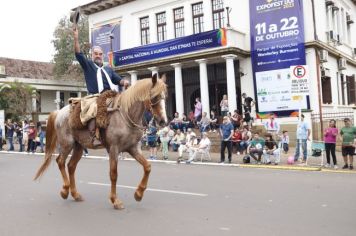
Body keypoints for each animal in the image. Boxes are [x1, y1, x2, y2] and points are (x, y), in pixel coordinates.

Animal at [34, 74, 168, 210]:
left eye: (165, 96)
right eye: (154, 96)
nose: (163, 121)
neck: (125, 116)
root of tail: (59, 111)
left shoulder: (133, 148)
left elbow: (147, 167)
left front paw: (138, 194)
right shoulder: (113, 149)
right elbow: (113, 174)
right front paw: (115, 200)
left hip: (79, 146)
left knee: (71, 166)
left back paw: (75, 194)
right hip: (67, 144)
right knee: (60, 162)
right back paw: (65, 190)